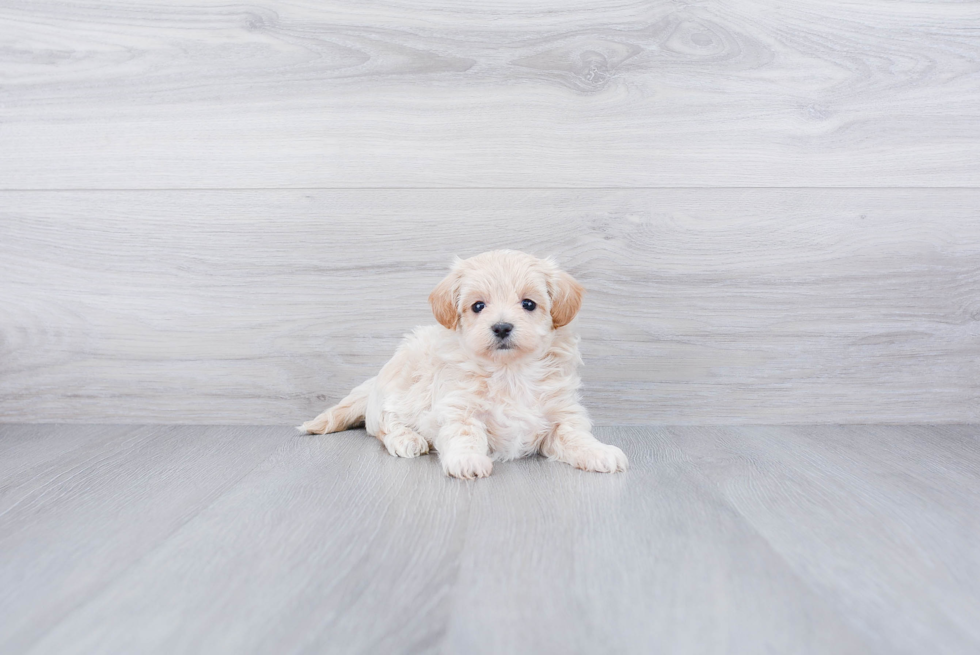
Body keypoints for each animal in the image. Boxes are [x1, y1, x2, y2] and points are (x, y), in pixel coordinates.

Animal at [300, 249, 628, 480]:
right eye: (478, 306)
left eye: (529, 304)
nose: (502, 327)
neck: (509, 371)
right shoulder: (458, 408)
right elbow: (465, 435)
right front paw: (467, 461)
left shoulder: (562, 414)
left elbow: (576, 436)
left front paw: (599, 452)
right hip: (399, 388)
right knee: (384, 424)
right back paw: (406, 439)